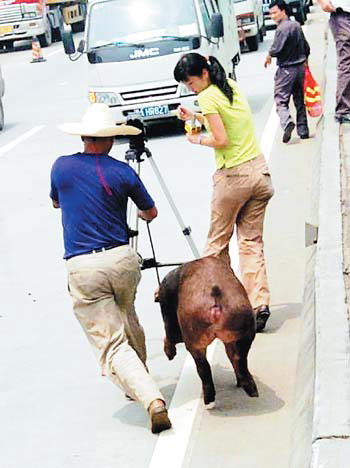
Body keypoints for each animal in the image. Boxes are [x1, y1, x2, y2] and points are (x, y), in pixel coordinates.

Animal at [157, 256, 258, 406]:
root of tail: (214, 293)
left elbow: (168, 336)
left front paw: (170, 354)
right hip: (243, 327)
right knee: (239, 359)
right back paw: (251, 390)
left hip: (191, 336)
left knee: (202, 366)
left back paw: (208, 399)